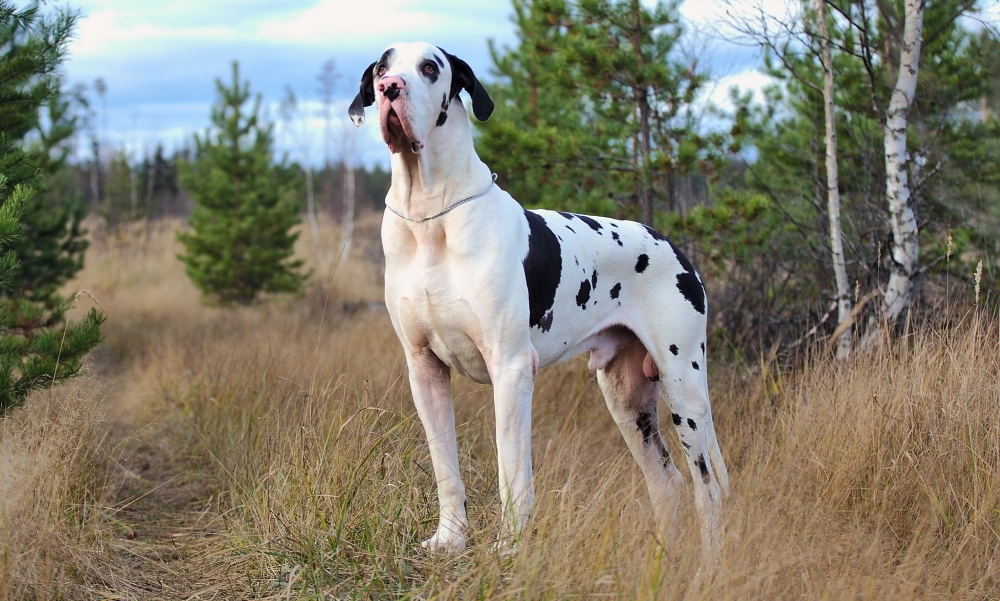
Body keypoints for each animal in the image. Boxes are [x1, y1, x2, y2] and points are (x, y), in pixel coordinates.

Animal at [348, 41, 732, 556]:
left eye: (430, 68)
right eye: (382, 68)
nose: (391, 88)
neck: (430, 214)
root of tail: (673, 245)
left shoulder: (510, 369)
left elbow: (512, 471)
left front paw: (509, 546)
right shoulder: (424, 369)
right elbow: (445, 466)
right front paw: (450, 539)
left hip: (683, 386)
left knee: (705, 485)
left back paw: (709, 561)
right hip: (628, 400)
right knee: (666, 481)